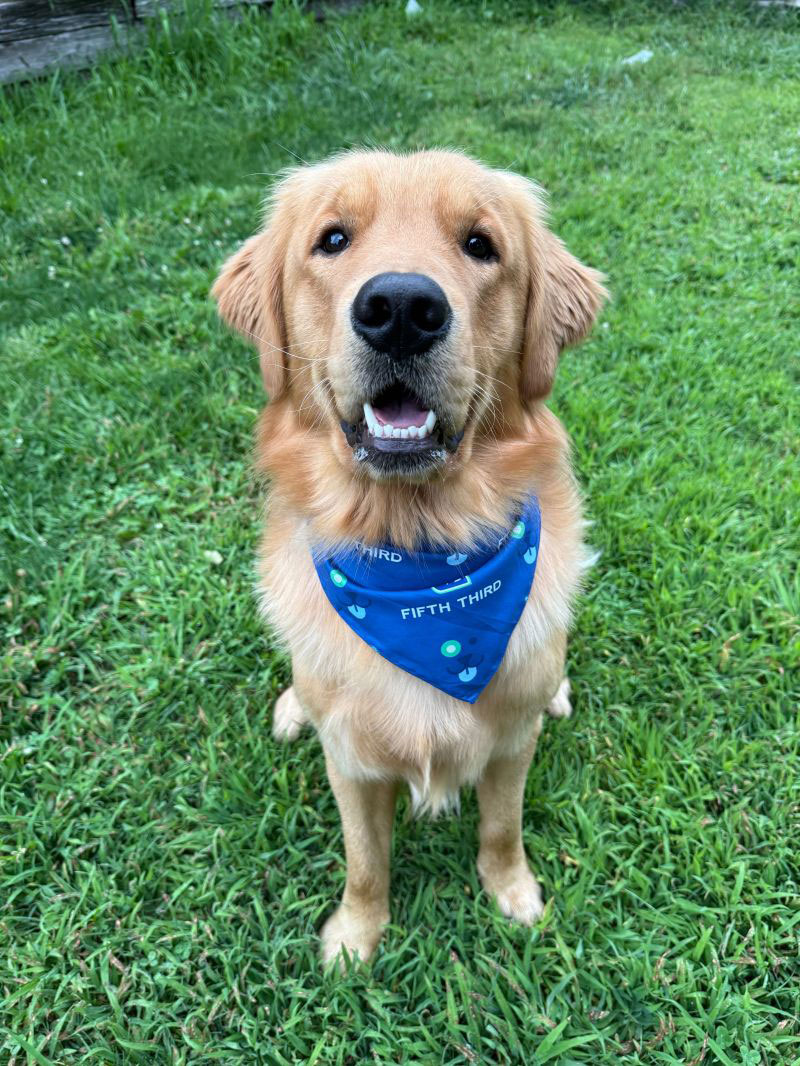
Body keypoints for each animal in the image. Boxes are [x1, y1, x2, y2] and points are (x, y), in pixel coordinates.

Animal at [212, 149, 606, 965]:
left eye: (481, 245)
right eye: (332, 240)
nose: (399, 308)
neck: (419, 563)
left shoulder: (510, 746)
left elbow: (501, 827)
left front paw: (512, 894)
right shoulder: (350, 761)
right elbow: (365, 858)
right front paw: (355, 938)